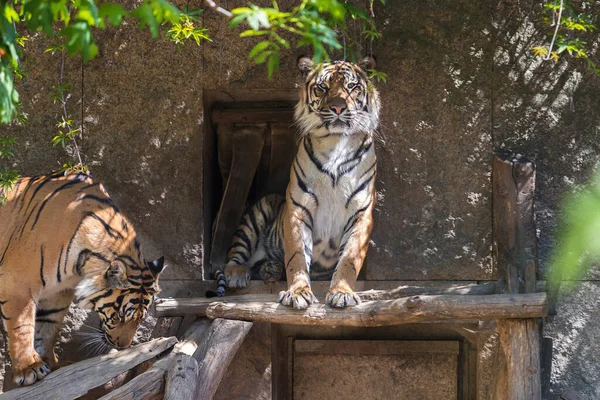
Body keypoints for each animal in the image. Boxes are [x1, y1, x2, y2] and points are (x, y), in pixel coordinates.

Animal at [0, 173, 164, 388]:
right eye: (120, 315)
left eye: (141, 319)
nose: (122, 346)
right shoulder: (19, 284)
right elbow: (22, 327)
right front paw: (30, 368)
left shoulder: (58, 292)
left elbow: (48, 326)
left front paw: (52, 364)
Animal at [214, 56, 380, 310]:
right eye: (323, 87)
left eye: (352, 87)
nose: (338, 107)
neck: (336, 143)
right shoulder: (298, 209)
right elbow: (297, 257)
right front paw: (298, 293)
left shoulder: (361, 213)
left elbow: (349, 260)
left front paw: (342, 292)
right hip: (258, 211)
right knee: (236, 251)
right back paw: (237, 273)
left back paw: (270, 269)